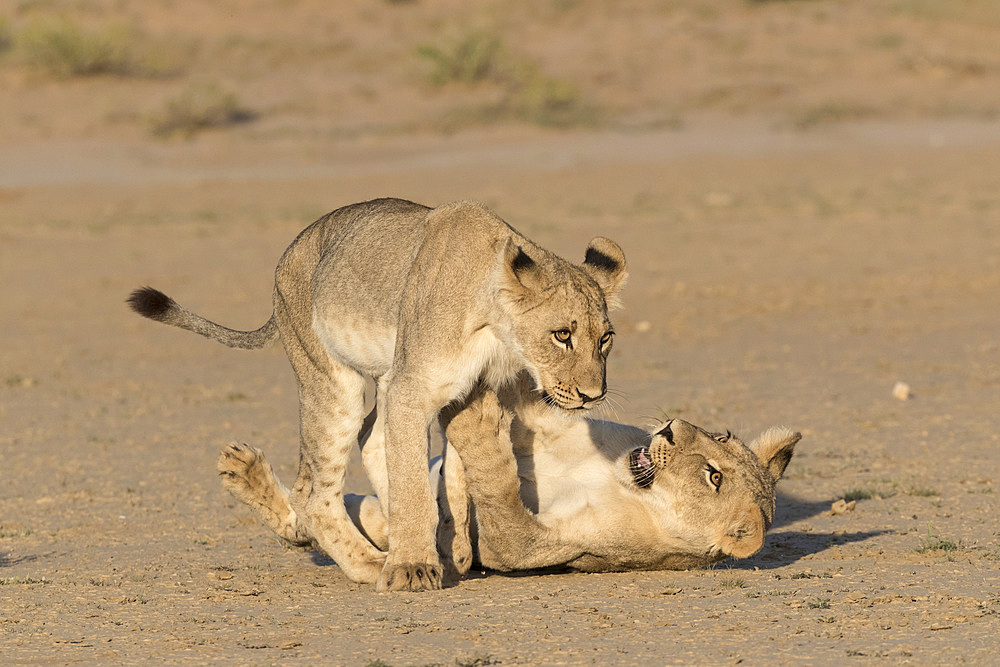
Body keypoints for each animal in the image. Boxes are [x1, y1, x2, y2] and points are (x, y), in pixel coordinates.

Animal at [217, 376, 796, 580]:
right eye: (719, 436)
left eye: (713, 477)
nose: (672, 429)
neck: (624, 482)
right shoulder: (550, 424)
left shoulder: (528, 549)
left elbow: (497, 495)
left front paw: (475, 426)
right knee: (315, 512)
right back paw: (243, 471)